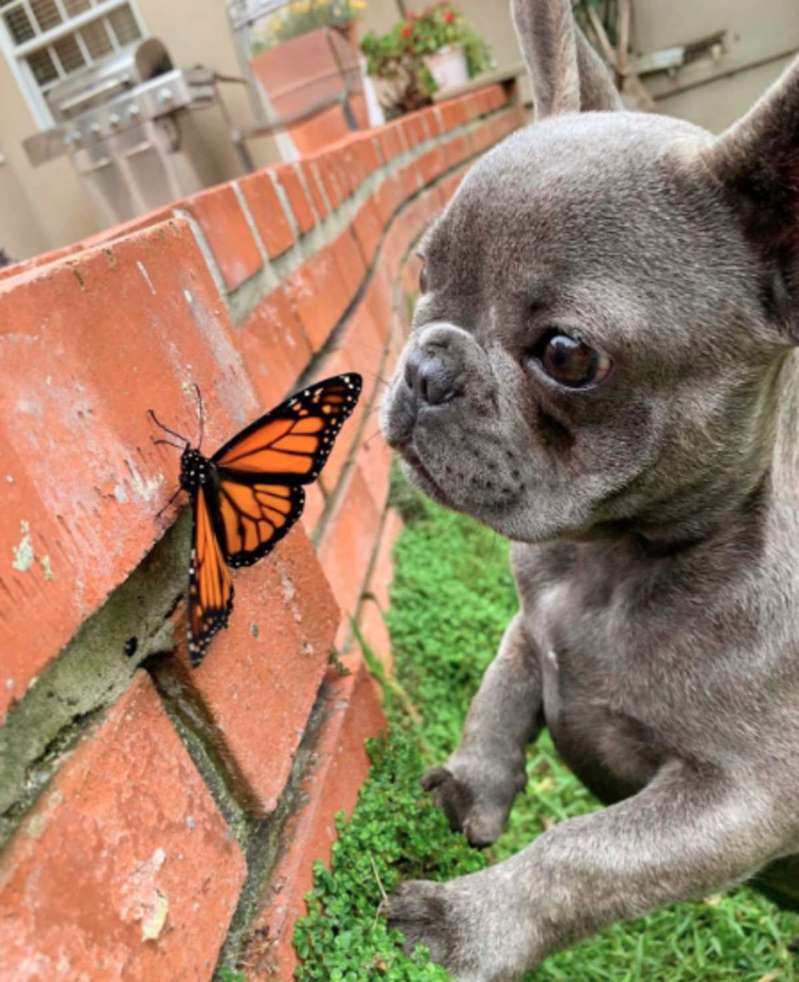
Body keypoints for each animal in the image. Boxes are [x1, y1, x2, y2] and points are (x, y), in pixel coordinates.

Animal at [378, 3, 799, 980]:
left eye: (567, 356)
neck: (608, 563)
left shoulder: (741, 800)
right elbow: (496, 702)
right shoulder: (525, 630)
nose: (425, 366)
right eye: (422, 278)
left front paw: (466, 923)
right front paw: (469, 789)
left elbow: (579, 856)